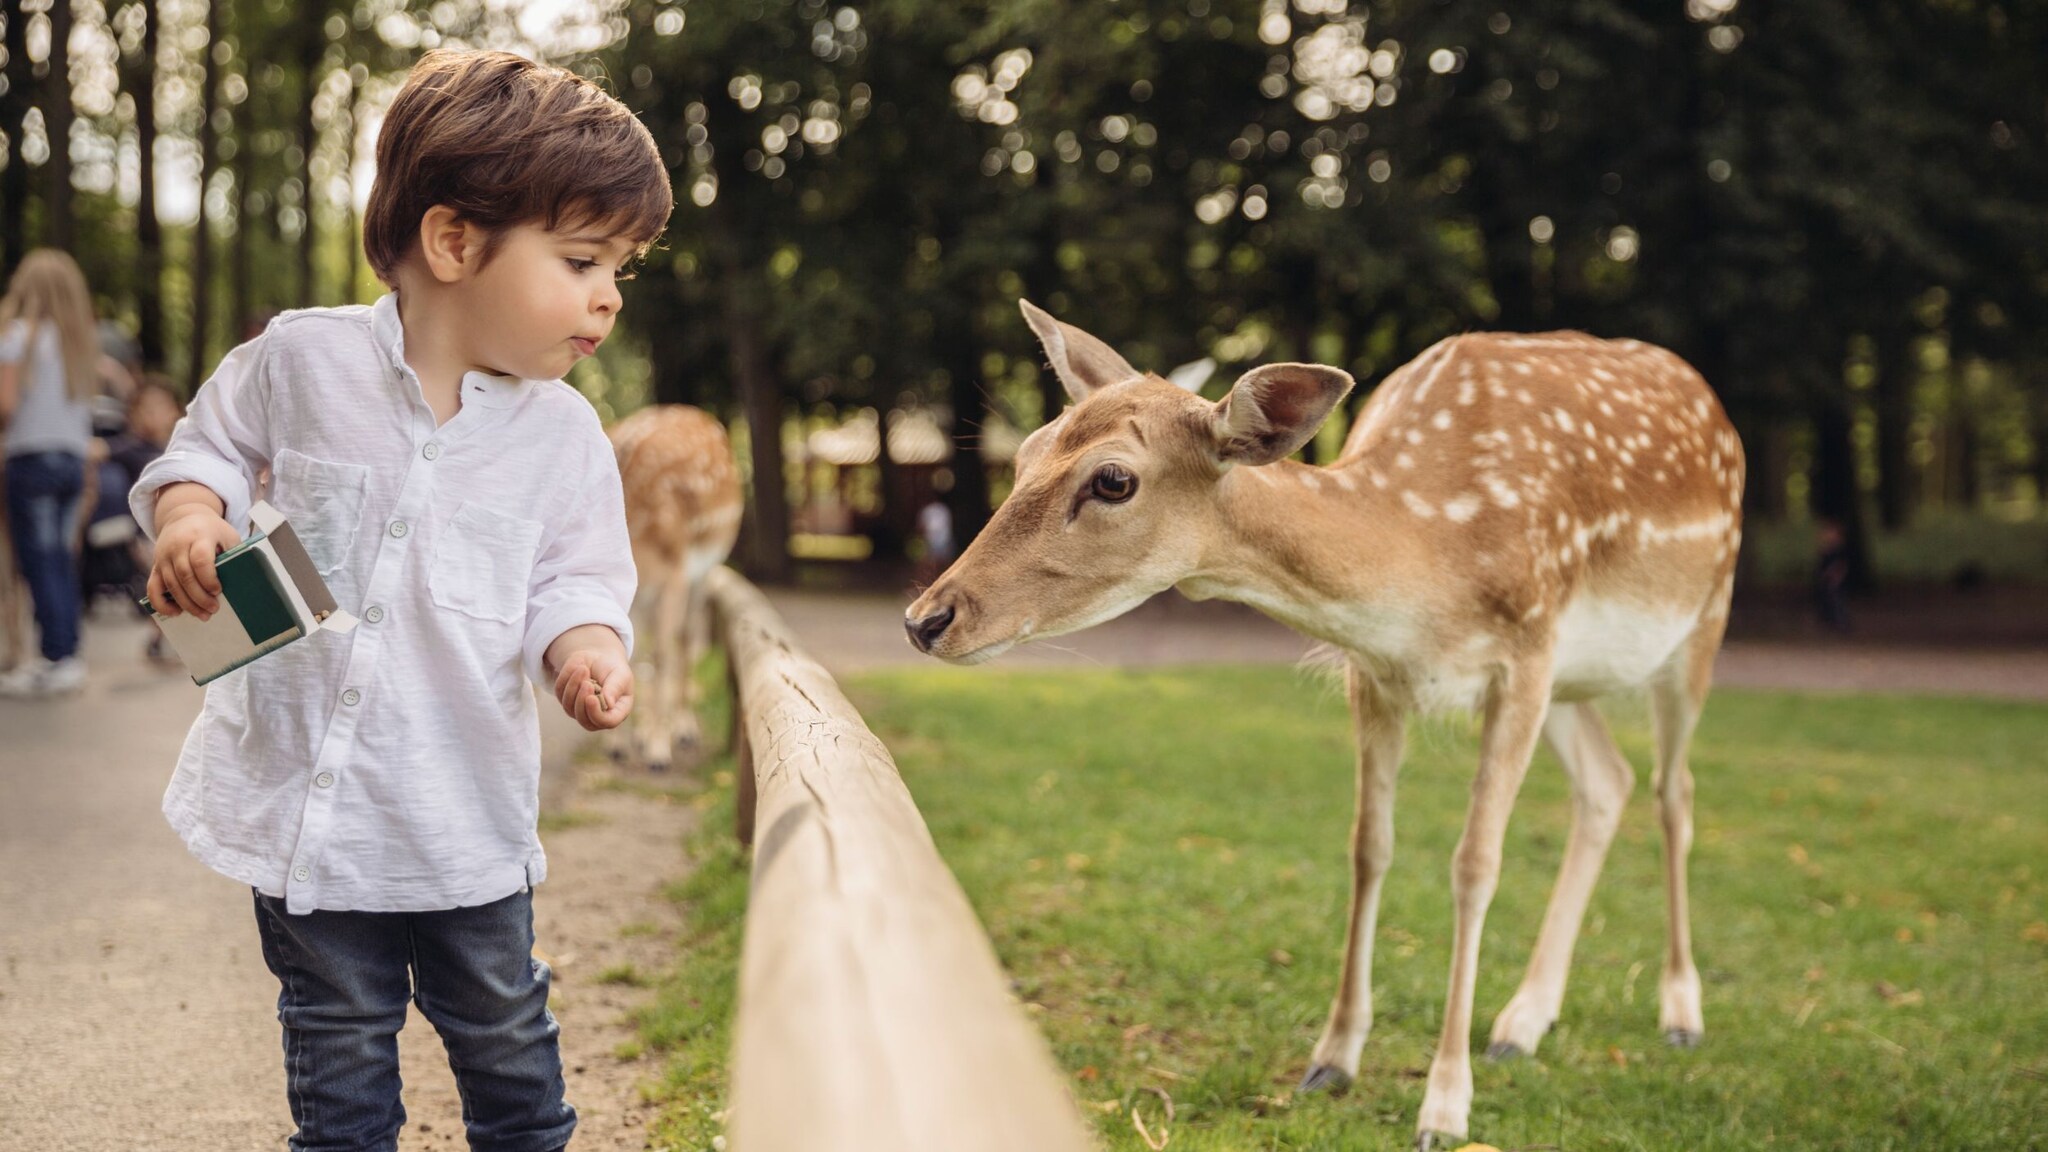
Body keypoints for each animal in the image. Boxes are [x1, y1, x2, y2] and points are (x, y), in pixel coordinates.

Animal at [608, 404, 744, 771]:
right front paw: (620, 745)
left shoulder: (675, 573)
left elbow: (662, 652)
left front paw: (658, 752)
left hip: (705, 568)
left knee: (684, 635)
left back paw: (683, 730)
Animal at [903, 301, 1744, 1150]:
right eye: (1027, 455)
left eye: (1113, 479)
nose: (925, 618)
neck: (1425, 568)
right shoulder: (1374, 677)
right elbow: (1368, 847)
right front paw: (1333, 1058)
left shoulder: (1527, 657)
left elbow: (1475, 865)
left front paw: (1445, 1103)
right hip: (1576, 686)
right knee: (1610, 782)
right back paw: (1522, 1022)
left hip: (1700, 621)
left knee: (1675, 791)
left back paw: (1681, 1011)